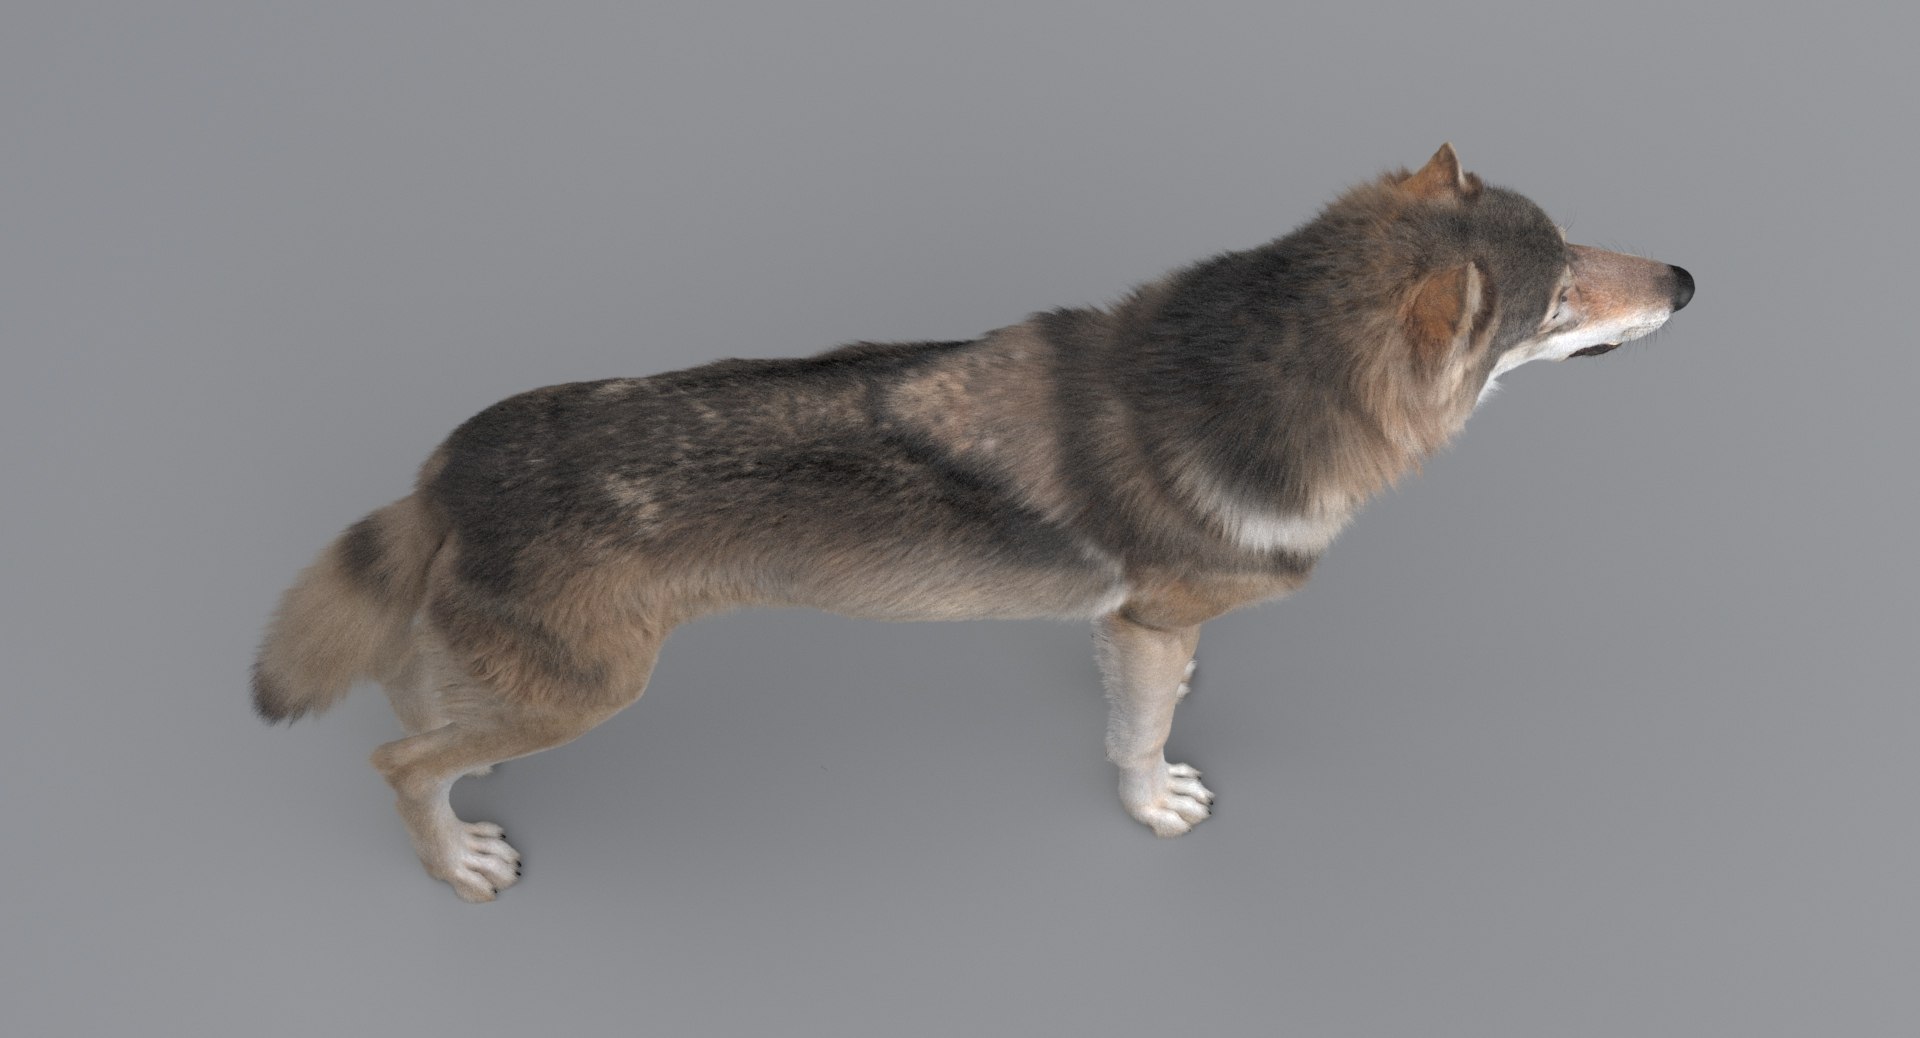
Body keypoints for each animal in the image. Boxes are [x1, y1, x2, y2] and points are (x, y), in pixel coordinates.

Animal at [253, 145, 1693, 901]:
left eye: (1578, 248)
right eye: (1560, 297)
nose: (1685, 278)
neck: (1258, 386)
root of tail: (445, 468)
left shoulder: (1137, 622)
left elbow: (1152, 679)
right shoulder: (1149, 618)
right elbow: (1139, 736)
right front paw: (1154, 803)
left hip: (540, 681)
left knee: (418, 712)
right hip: (596, 693)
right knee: (394, 760)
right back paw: (459, 860)